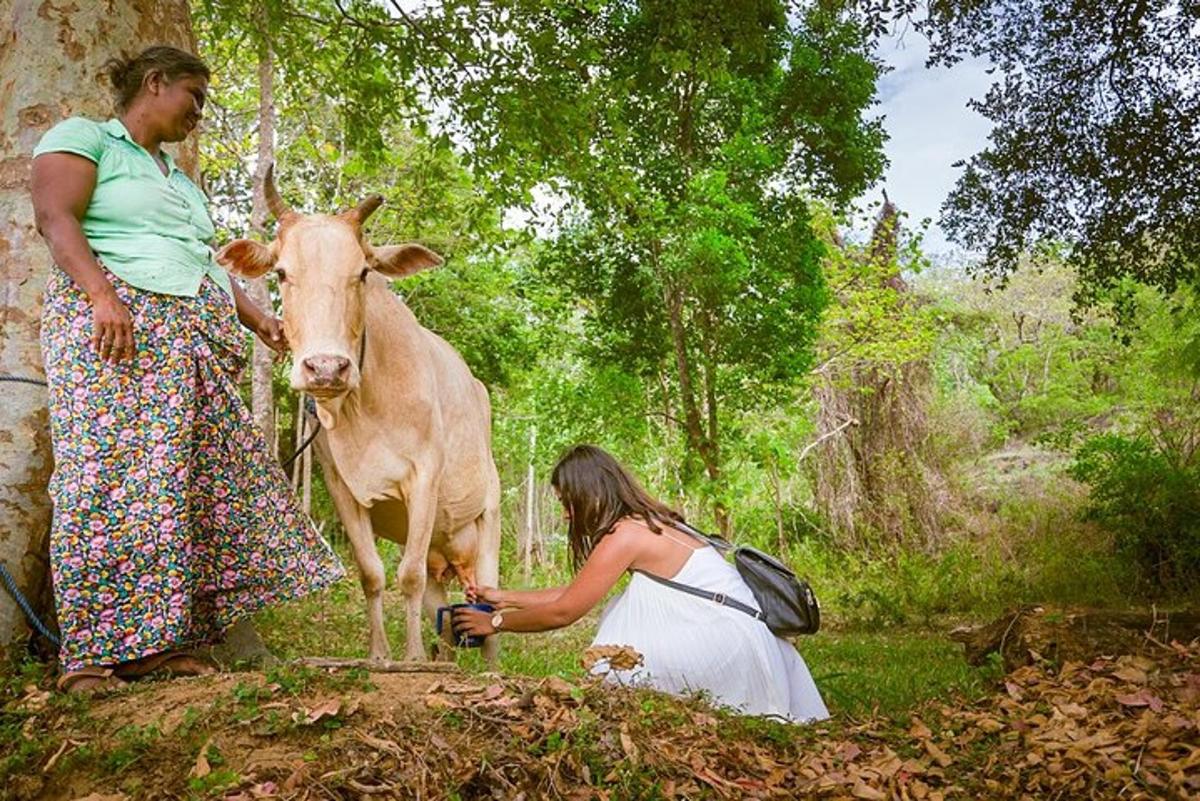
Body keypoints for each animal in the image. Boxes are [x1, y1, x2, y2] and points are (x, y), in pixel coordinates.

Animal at [217, 165, 501, 661]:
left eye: (363, 272)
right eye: (282, 272)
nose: (327, 368)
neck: (363, 410)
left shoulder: (425, 475)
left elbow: (408, 575)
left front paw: (412, 660)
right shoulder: (340, 487)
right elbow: (373, 574)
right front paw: (380, 656)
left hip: (490, 522)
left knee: (488, 608)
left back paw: (488, 669)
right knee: (444, 610)